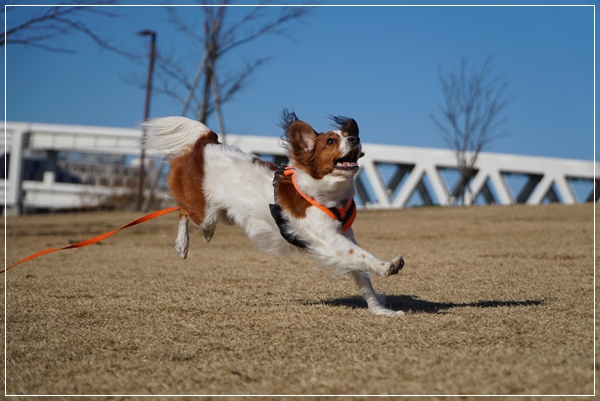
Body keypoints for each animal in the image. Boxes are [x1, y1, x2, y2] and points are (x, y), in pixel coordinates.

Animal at [143, 110, 406, 316]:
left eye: (349, 136)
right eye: (331, 141)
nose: (355, 138)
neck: (328, 193)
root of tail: (207, 144)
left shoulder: (344, 235)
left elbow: (362, 276)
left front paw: (380, 310)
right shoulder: (328, 238)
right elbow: (362, 256)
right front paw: (387, 266)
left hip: (224, 213)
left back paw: (207, 234)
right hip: (204, 211)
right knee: (182, 211)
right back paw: (182, 245)